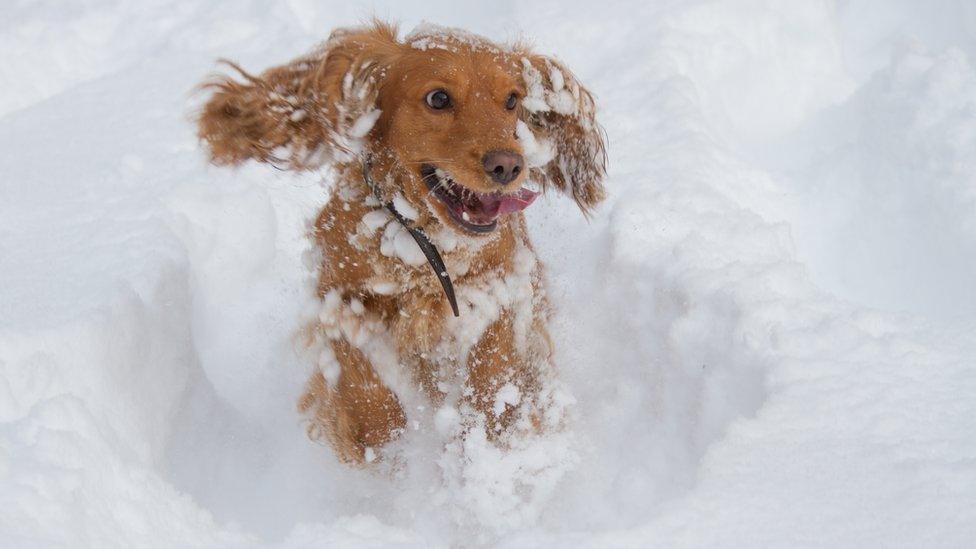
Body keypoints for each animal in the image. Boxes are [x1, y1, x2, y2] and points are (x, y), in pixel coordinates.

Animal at [195, 20, 608, 462]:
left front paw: (487, 432)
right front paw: (383, 440)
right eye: (438, 98)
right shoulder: (336, 291)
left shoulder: (508, 281)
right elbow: (355, 368)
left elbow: (495, 360)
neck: (423, 245)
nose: (508, 165)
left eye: (512, 99)